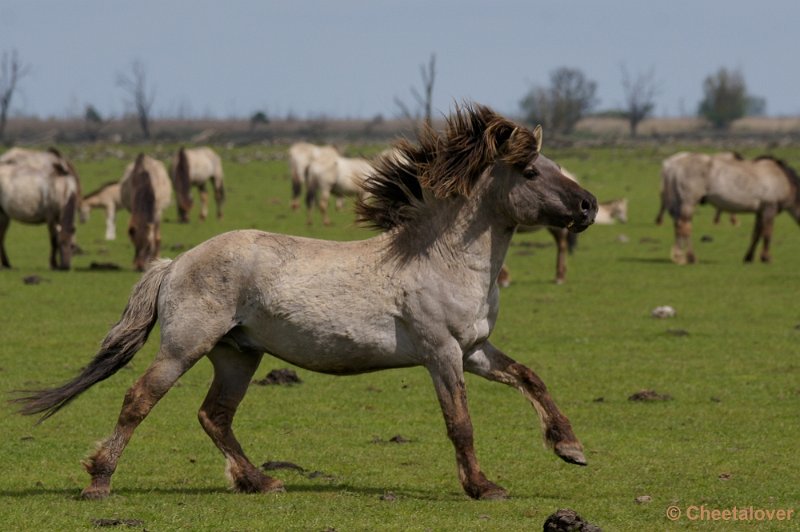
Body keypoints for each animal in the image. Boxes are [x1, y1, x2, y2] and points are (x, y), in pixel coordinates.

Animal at [15, 102, 596, 500]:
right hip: (185, 347)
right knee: (140, 399)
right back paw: (99, 482)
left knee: (214, 415)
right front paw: (482, 487)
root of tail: (175, 263)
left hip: (238, 355)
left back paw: (259, 481)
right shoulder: (442, 353)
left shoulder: (474, 349)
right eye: (530, 172)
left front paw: (570, 448)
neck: (441, 261)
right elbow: (461, 422)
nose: (589, 206)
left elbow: (530, 378)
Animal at [664, 152, 800, 264]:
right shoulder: (769, 208)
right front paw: (766, 257)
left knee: (678, 226)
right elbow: (767, 234)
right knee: (685, 227)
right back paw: (690, 257)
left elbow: (756, 234)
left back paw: (680, 256)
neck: (782, 179)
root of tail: (674, 165)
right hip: (689, 203)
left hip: (680, 204)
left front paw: (749, 257)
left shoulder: (760, 212)